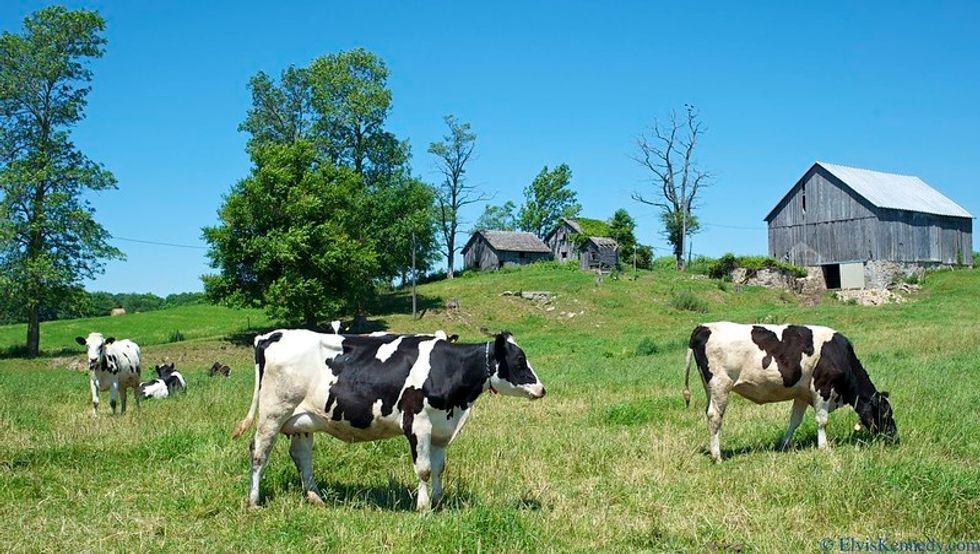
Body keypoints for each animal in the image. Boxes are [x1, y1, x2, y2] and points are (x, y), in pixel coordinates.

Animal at [234, 328, 548, 508]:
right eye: (519, 361)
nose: (541, 389)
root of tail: (269, 335)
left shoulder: (441, 429)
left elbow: (439, 468)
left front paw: (438, 501)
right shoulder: (417, 424)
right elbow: (424, 469)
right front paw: (423, 508)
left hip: (302, 419)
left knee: (301, 456)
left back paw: (316, 498)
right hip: (274, 411)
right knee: (259, 452)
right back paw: (253, 501)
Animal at [680, 322, 896, 460]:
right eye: (886, 414)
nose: (894, 437)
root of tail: (704, 327)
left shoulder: (802, 394)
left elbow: (794, 421)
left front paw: (784, 444)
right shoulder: (822, 387)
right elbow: (822, 421)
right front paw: (824, 447)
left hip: (710, 388)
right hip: (720, 384)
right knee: (715, 416)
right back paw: (717, 456)